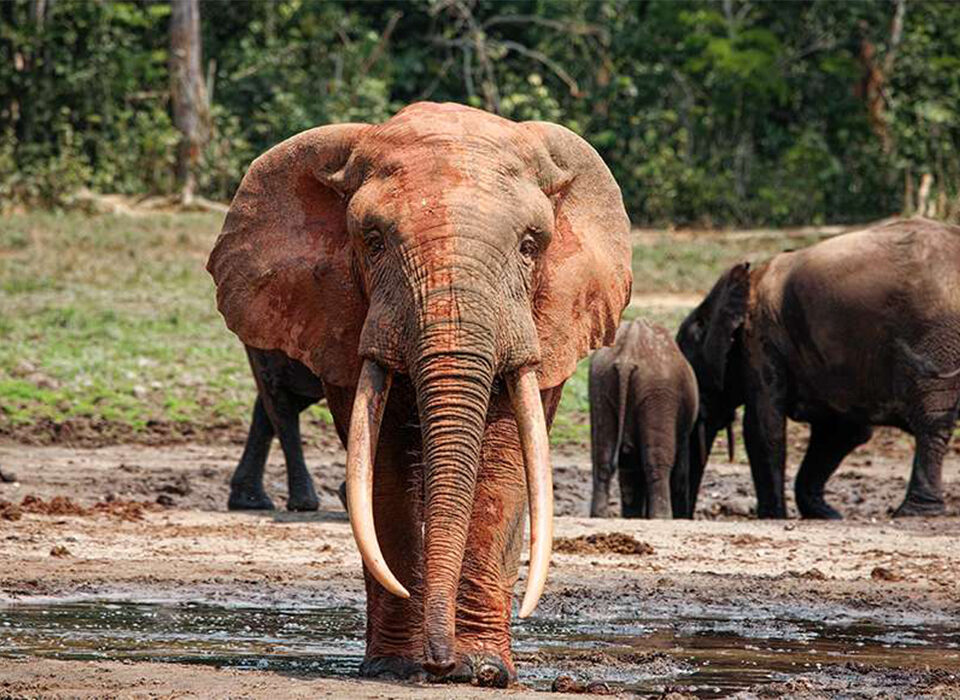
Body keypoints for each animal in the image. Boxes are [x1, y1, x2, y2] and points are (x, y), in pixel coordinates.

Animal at [589, 319, 698, 519]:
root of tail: (628, 353)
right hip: (657, 391)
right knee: (657, 461)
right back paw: (662, 518)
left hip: (601, 383)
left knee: (604, 456)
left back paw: (599, 515)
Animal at [676, 218, 960, 520]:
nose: (684, 515)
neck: (743, 280)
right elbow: (842, 431)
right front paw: (826, 514)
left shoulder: (760, 339)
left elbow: (762, 427)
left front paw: (774, 516)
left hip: (935, 336)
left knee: (932, 418)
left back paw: (915, 512)